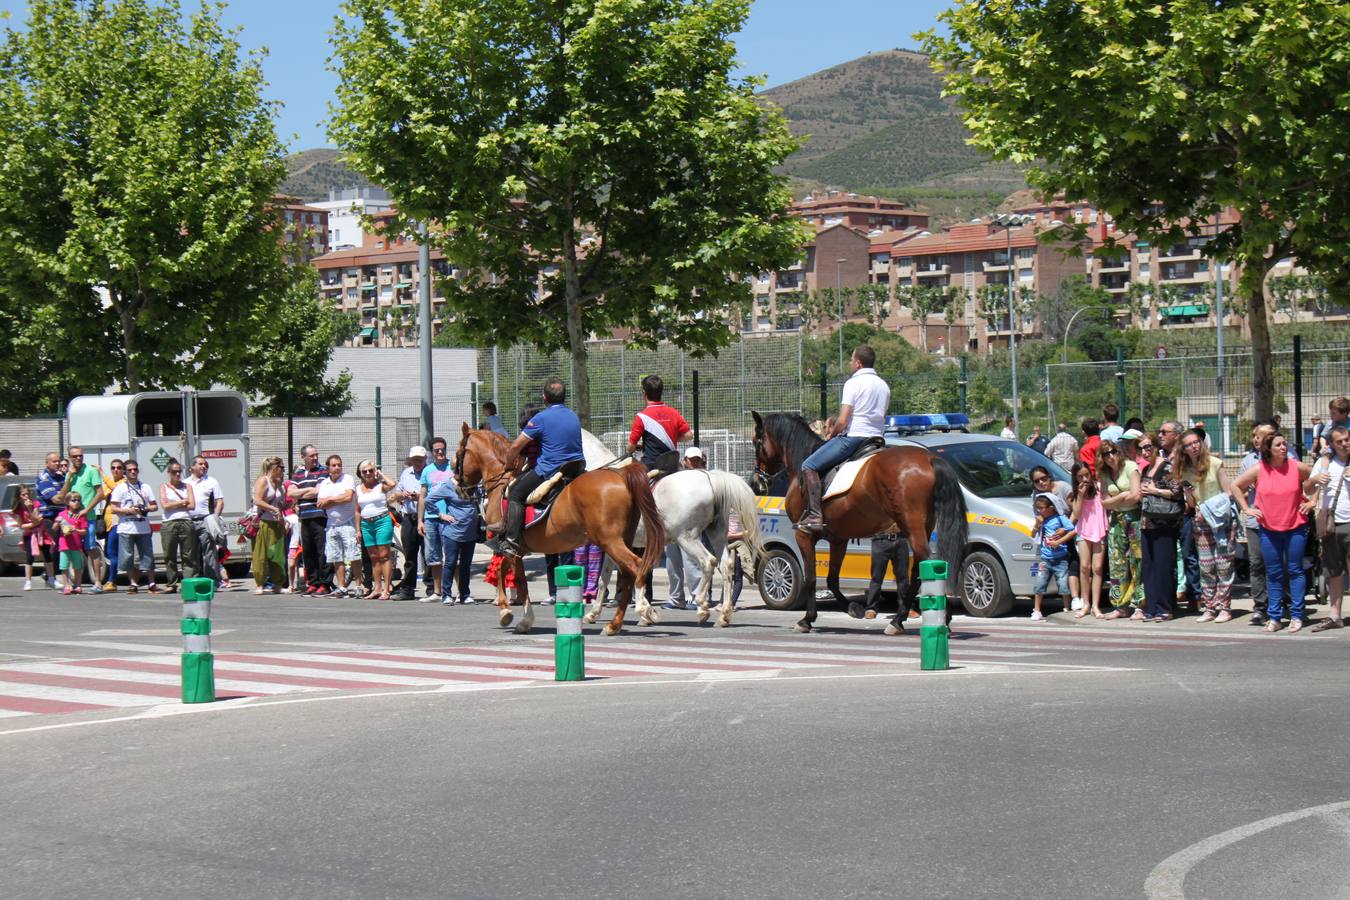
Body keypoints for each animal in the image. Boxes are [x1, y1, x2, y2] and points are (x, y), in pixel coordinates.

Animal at [453, 426, 664, 636]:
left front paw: (519, 617)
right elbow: (501, 572)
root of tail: (621, 475)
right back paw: (614, 625)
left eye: (458, 455)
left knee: (637, 566)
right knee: (627, 575)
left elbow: (518, 580)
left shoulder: (511, 547)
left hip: (610, 541)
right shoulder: (517, 548)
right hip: (621, 540)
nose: (458, 488)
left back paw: (643, 609)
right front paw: (508, 611)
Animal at [585, 469, 766, 631]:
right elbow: (604, 578)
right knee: (725, 566)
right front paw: (594, 613)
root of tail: (709, 477)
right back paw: (724, 615)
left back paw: (702, 605)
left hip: (687, 538)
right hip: (717, 532)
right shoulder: (614, 545)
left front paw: (644, 611)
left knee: (708, 562)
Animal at [750, 412, 972, 636]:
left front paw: (807, 619)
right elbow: (831, 578)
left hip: (912, 526)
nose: (755, 481)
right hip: (924, 526)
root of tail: (930, 458)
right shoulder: (838, 539)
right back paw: (930, 617)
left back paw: (902, 620)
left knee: (925, 564)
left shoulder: (804, 535)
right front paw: (850, 607)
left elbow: (811, 578)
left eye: (756, 441)